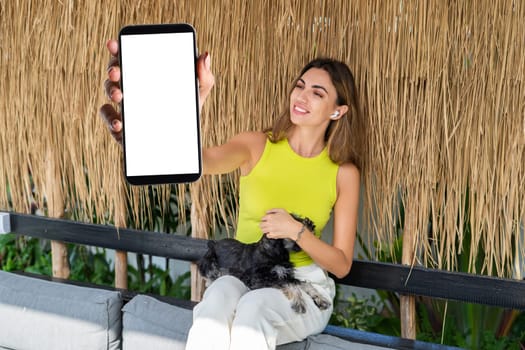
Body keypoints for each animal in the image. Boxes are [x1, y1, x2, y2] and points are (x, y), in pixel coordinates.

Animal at [196, 215, 332, 314]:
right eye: (293, 219)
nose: (311, 224)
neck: (275, 253)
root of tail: (213, 244)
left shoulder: (286, 275)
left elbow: (303, 284)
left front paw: (321, 299)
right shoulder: (260, 279)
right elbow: (291, 285)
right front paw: (298, 302)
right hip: (210, 263)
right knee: (209, 278)